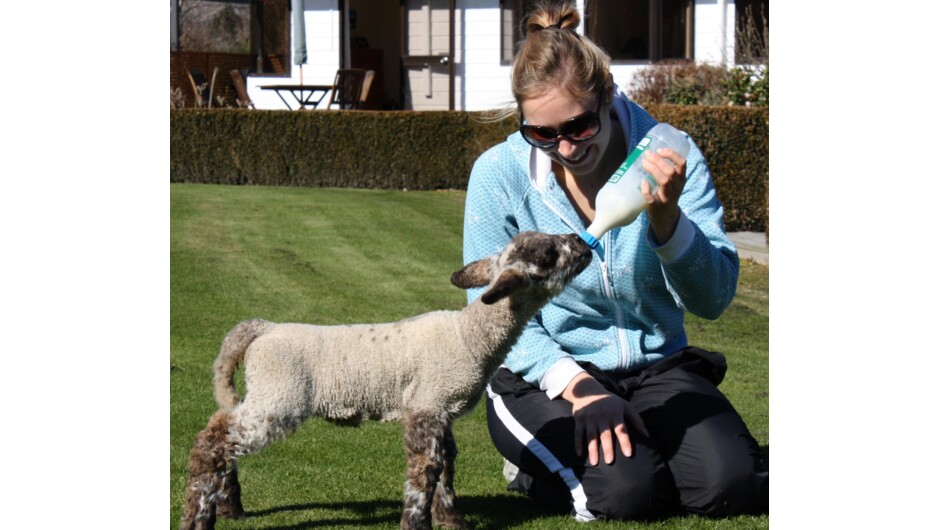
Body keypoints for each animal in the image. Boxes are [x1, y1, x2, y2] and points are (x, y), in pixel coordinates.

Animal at [178, 230, 588, 528]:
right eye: (547, 254)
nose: (582, 242)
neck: (469, 337)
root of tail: (263, 330)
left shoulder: (439, 408)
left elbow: (446, 465)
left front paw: (450, 519)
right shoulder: (426, 406)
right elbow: (425, 472)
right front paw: (416, 522)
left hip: (265, 393)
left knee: (222, 433)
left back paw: (229, 507)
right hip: (279, 395)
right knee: (211, 443)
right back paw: (198, 518)